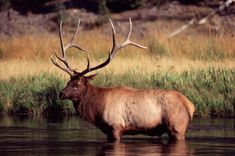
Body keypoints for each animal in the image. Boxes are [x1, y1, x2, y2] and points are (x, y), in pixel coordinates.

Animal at [51, 18, 195, 143]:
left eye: (77, 84)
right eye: (68, 82)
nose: (61, 93)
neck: (97, 108)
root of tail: (190, 105)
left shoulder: (116, 126)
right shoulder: (108, 131)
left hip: (177, 127)